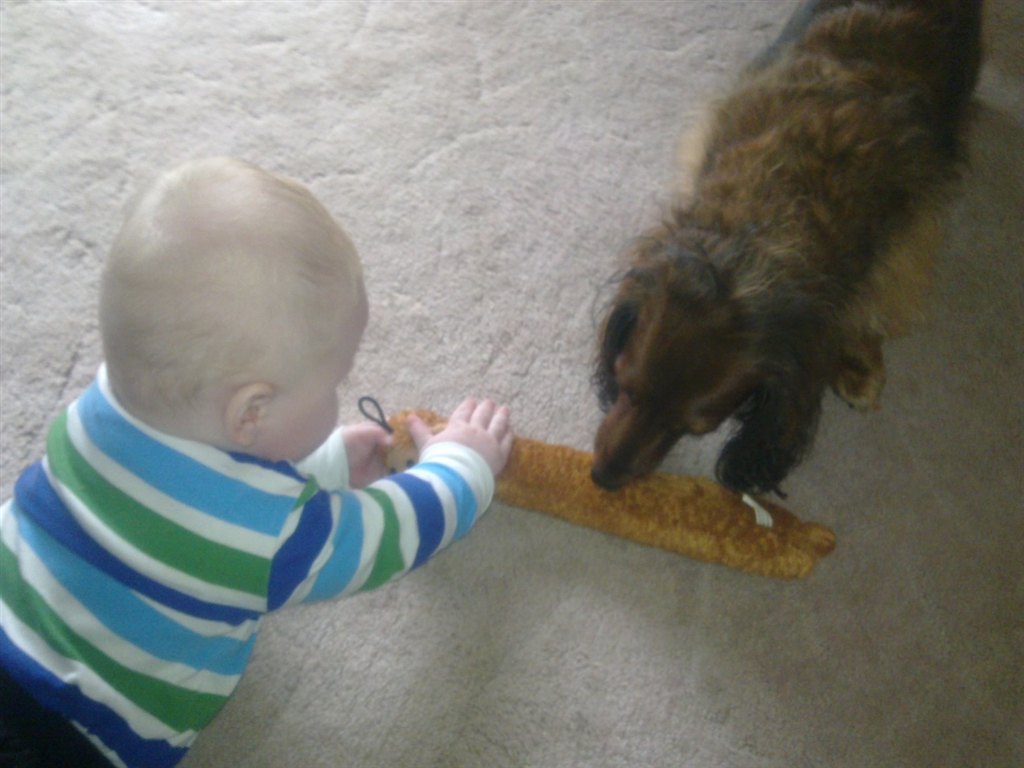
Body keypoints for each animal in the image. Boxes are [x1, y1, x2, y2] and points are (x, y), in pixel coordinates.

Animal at [592, 0, 982, 495]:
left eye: (694, 427)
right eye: (627, 385)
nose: (601, 478)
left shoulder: (906, 237)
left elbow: (872, 304)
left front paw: (858, 360)